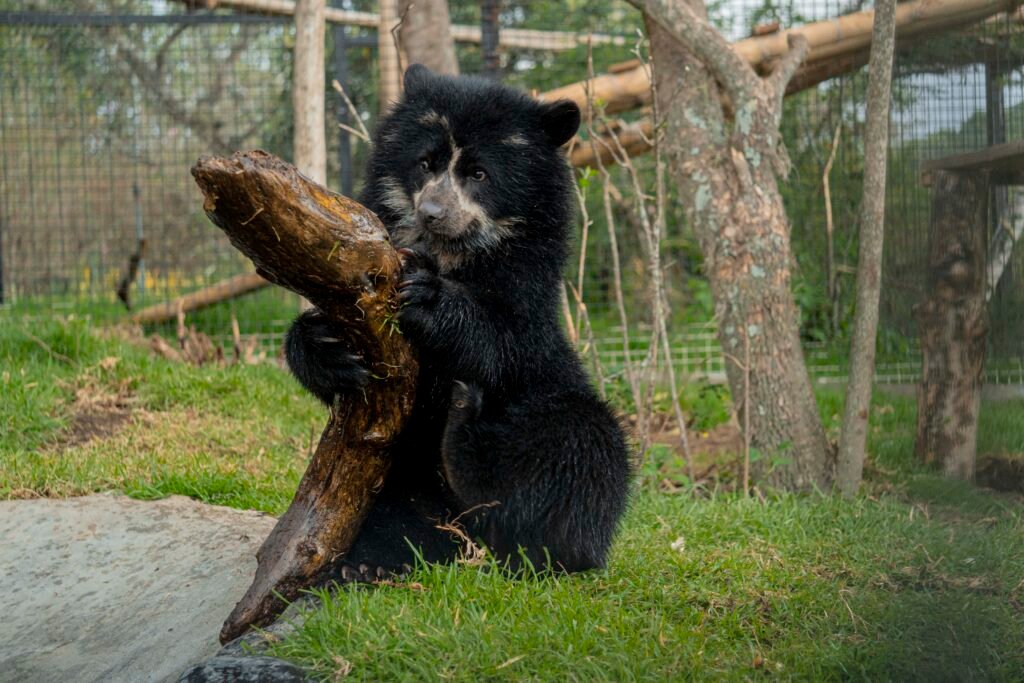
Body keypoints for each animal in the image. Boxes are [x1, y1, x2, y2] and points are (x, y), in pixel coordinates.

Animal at [284, 64, 631, 579]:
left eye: (479, 174)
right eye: (425, 164)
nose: (432, 213)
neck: (449, 254)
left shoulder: (527, 292)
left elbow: (502, 343)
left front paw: (427, 298)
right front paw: (326, 343)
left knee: (582, 440)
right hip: (404, 480)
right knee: (392, 515)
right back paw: (366, 563)